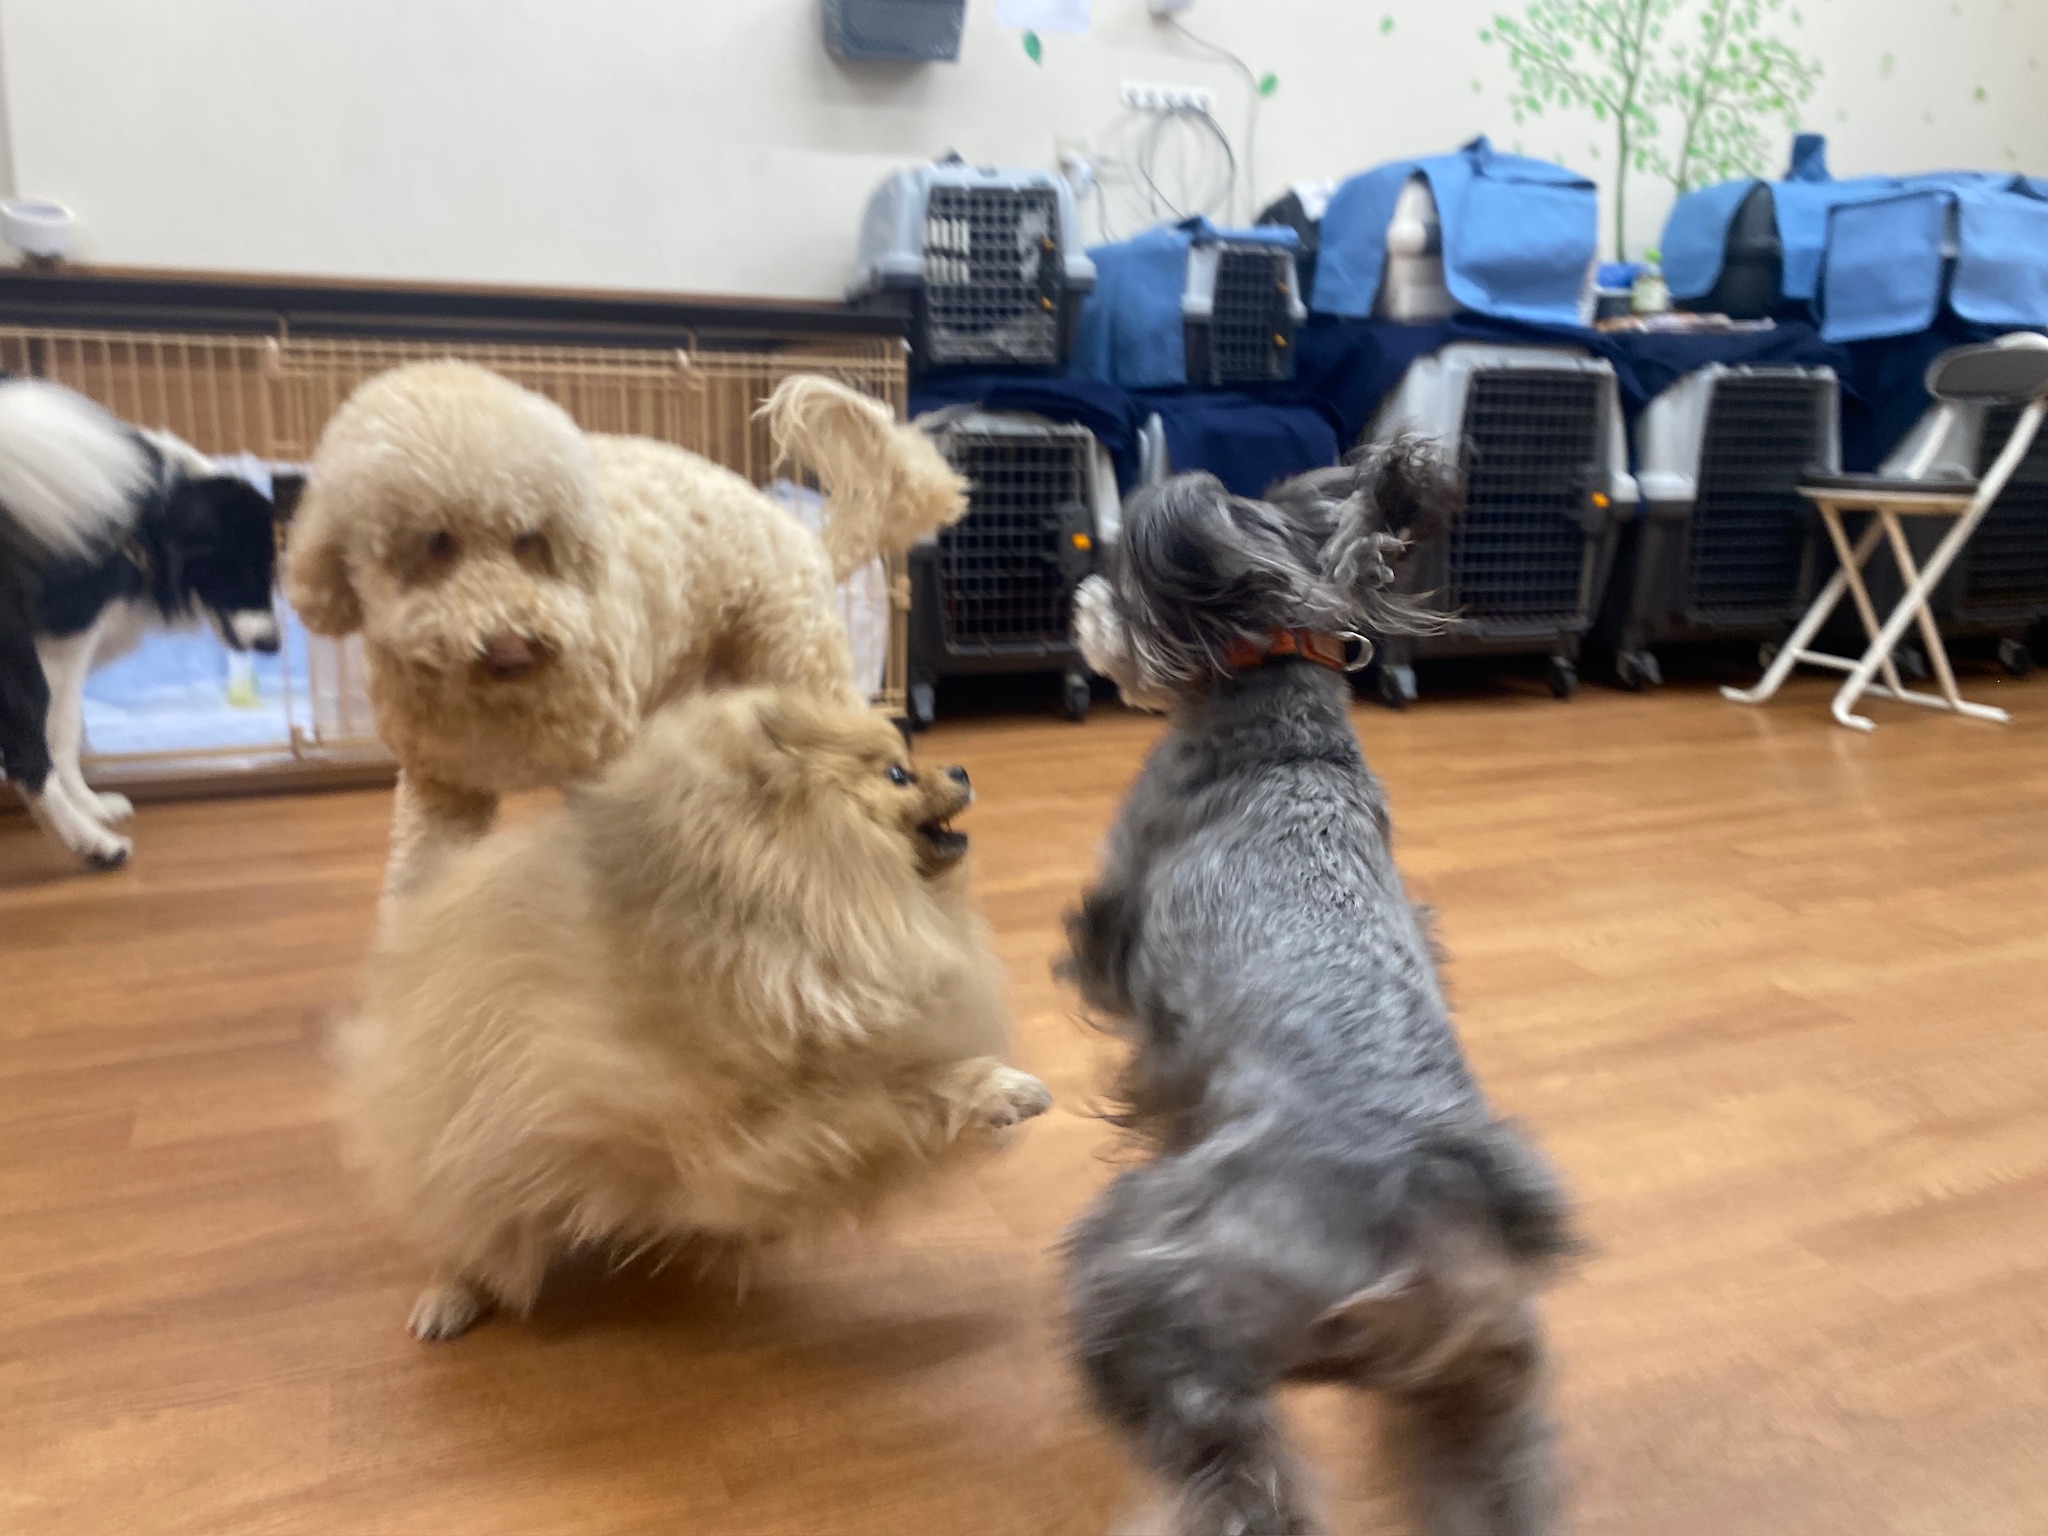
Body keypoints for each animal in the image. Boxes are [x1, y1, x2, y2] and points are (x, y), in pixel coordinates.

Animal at [0, 378, 279, 869]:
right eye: (244, 574)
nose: (272, 644)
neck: (149, 523)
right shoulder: (64, 638)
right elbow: (62, 731)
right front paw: (86, 807)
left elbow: (68, 731)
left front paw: (92, 803)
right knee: (25, 752)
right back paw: (94, 844)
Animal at [282, 362, 966, 903]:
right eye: (436, 544)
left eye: (530, 540)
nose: (511, 641)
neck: (495, 697)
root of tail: (803, 538)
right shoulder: (442, 786)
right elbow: (419, 878)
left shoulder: (601, 763)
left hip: (797, 660)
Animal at [339, 684, 1053, 1342]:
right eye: (897, 774)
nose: (960, 769)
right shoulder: (758, 1117)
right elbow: (913, 1085)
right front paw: (1002, 1090)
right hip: (466, 1147)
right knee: (468, 1229)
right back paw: (449, 1296)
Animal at [1061, 449, 1577, 1536]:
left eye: (1119, 580)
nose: (1081, 601)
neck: (1285, 731)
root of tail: (1425, 1207)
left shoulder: (1117, 940)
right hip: (1473, 1393)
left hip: (1156, 1285)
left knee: (1233, 1476)